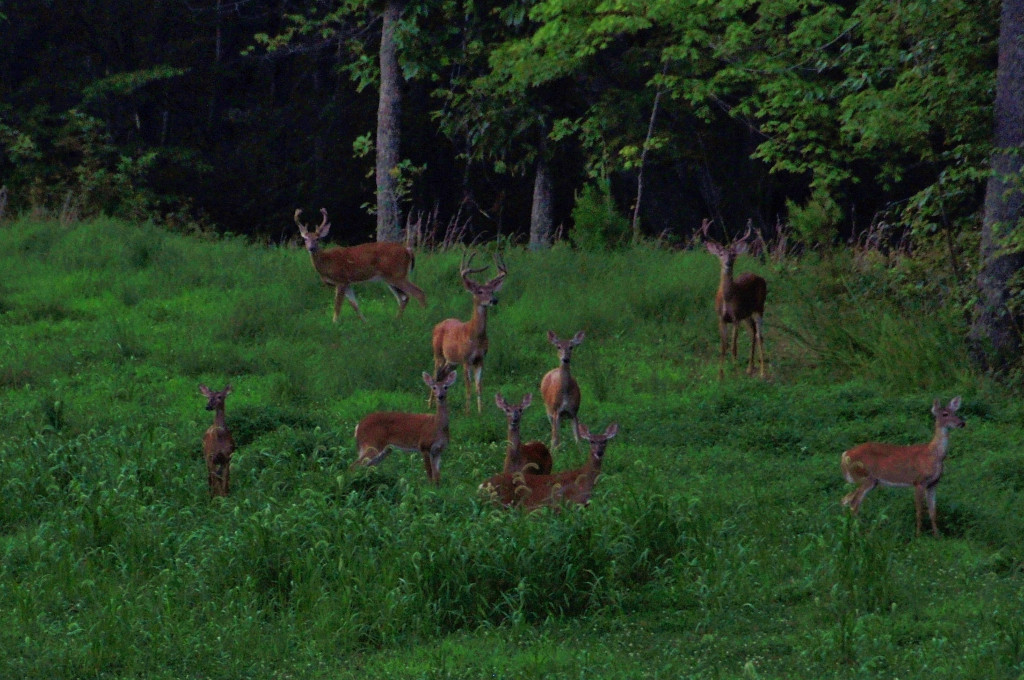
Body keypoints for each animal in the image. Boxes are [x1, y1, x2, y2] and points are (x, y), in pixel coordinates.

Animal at [294, 208, 425, 323]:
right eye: (305, 239)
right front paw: (365, 322)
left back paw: (423, 317)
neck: (327, 262)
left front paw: (334, 323)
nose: (311, 248)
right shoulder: (347, 282)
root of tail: (408, 250)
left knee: (418, 292)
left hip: (397, 274)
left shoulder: (341, 279)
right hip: (390, 277)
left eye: (317, 239)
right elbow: (354, 304)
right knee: (404, 298)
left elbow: (337, 305)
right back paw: (397, 320)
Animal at [430, 250, 505, 413]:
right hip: (438, 353)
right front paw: (468, 412)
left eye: (492, 291)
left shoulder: (480, 359)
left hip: (451, 361)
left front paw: (480, 412)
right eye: (480, 291)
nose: (494, 300)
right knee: (435, 374)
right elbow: (469, 386)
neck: (475, 336)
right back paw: (430, 404)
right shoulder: (465, 359)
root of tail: (437, 325)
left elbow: (479, 386)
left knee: (442, 376)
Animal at [477, 419, 618, 510]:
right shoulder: (570, 502)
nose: (599, 452)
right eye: (591, 441)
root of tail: (482, 486)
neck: (585, 480)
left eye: (605, 441)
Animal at [704, 219, 770, 378]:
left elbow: (734, 347)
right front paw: (720, 376)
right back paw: (749, 368)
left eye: (733, 254)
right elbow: (723, 346)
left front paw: (735, 374)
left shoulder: (735, 318)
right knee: (753, 332)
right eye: (721, 254)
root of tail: (758, 276)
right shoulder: (721, 318)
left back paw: (762, 372)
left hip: (759, 307)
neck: (727, 299)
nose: (728, 263)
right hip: (746, 314)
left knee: (760, 336)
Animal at [839, 395, 966, 540]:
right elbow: (919, 511)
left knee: (845, 500)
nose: (962, 423)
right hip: (865, 478)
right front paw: (918, 536)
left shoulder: (933, 483)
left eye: (955, 412)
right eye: (945, 414)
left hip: (870, 481)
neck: (934, 454)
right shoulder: (919, 481)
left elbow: (933, 511)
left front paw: (937, 536)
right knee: (854, 504)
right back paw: (857, 534)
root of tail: (845, 455)